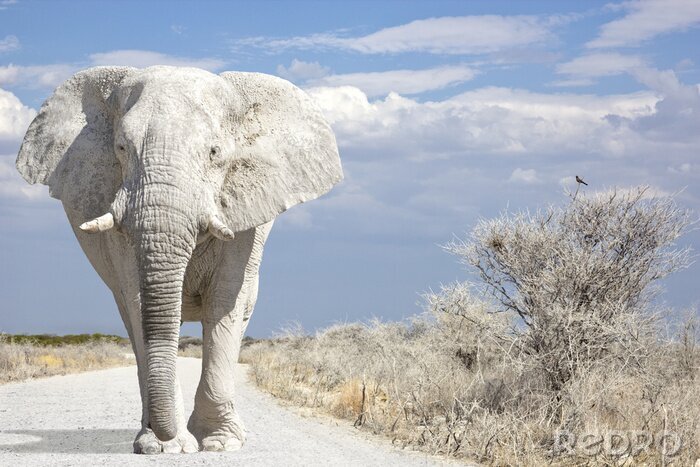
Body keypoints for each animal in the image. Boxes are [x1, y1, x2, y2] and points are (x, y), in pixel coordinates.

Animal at [15, 66, 342, 453]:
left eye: (215, 152)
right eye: (121, 148)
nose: (169, 434)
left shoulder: (245, 221)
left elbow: (225, 301)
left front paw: (220, 444)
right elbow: (139, 303)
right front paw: (165, 447)